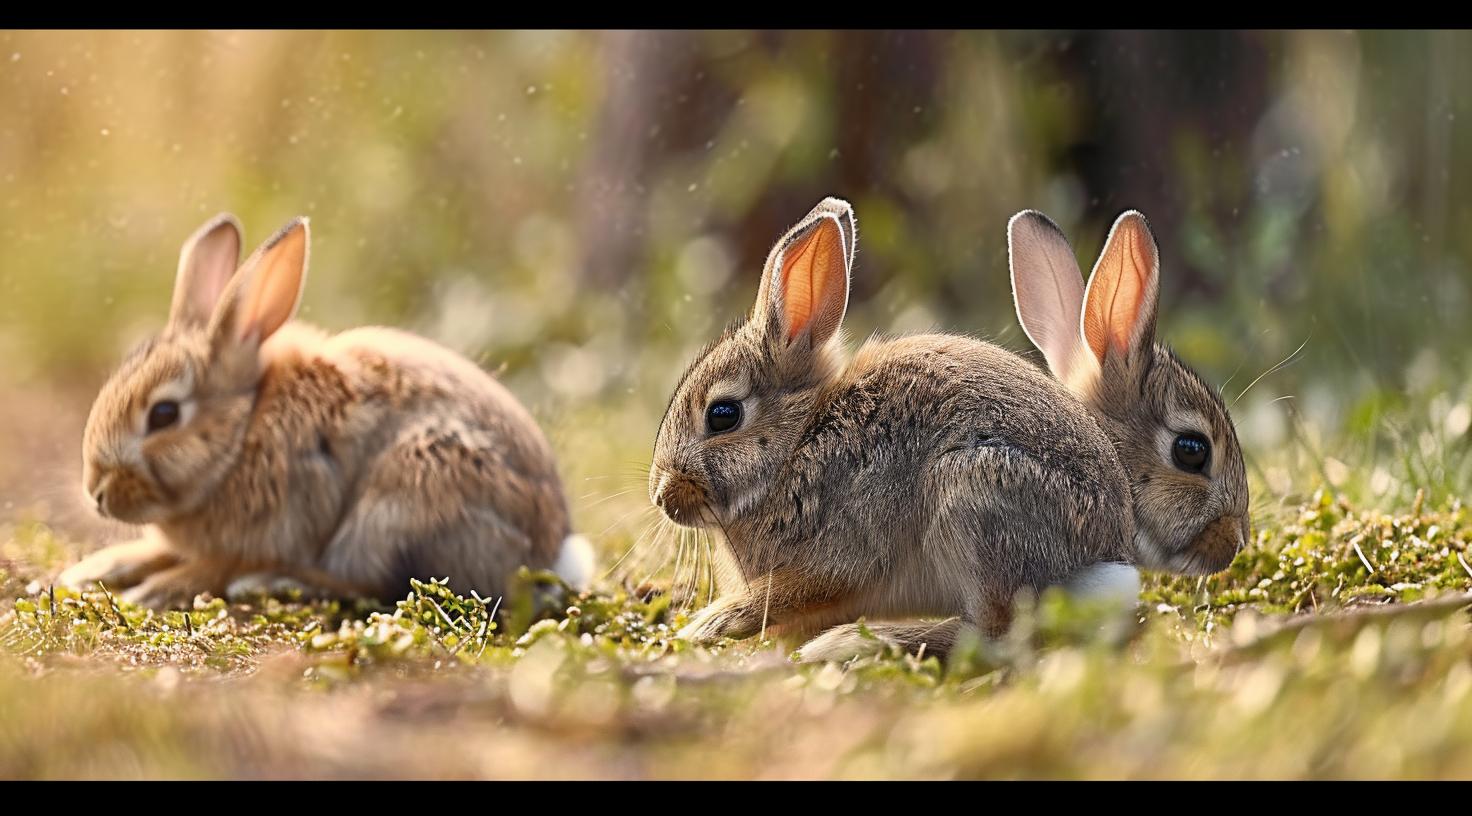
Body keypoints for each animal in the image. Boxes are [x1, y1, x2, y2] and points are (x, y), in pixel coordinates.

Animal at [57, 213, 595, 609]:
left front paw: (155, 591)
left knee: (386, 587)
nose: (95, 492)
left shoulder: (288, 519)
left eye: (164, 415)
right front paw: (95, 569)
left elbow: (220, 564)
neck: (244, 429)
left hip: (402, 500)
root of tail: (548, 555)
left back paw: (277, 583)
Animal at [648, 197, 1144, 662]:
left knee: (994, 635)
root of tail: (1101, 556)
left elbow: (791, 590)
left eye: (723, 414)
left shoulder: (842, 553)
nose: (662, 496)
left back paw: (854, 642)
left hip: (971, 492)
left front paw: (709, 623)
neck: (796, 446)